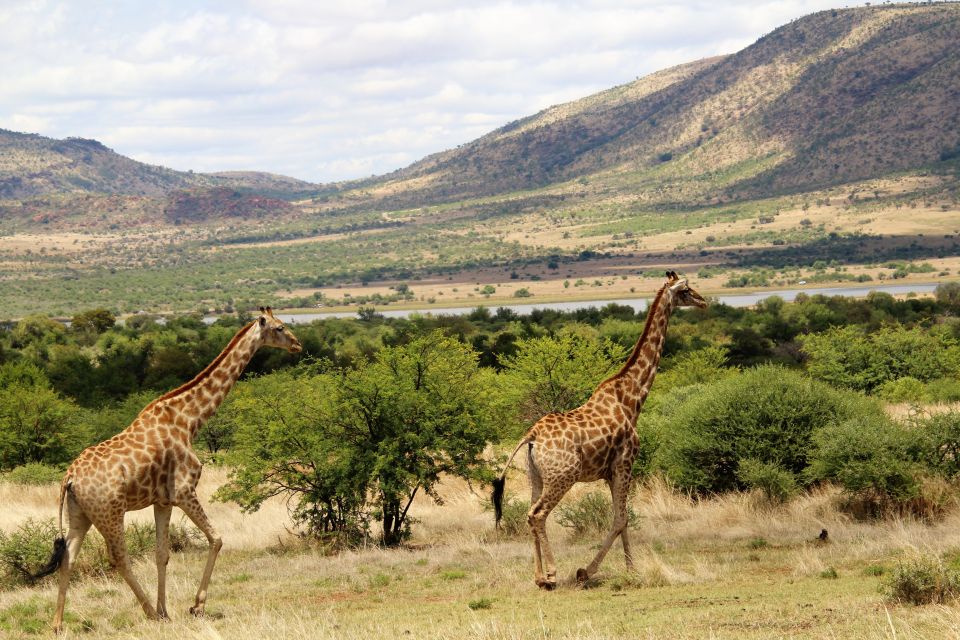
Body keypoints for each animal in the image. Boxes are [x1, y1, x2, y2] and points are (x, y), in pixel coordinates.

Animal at [34, 308, 300, 632]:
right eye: (280, 328)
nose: (297, 345)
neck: (190, 420)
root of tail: (69, 479)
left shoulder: (162, 501)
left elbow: (162, 553)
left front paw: (167, 610)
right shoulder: (184, 490)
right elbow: (217, 538)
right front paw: (195, 606)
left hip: (79, 515)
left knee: (68, 557)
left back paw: (58, 624)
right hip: (110, 512)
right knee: (119, 557)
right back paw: (148, 612)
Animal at [496, 272, 704, 592]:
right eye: (686, 290)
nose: (704, 302)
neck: (631, 399)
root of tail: (531, 437)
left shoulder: (610, 471)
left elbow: (623, 519)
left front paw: (631, 570)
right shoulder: (625, 462)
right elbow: (619, 519)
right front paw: (586, 571)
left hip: (536, 476)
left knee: (529, 513)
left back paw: (538, 577)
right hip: (563, 477)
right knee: (538, 514)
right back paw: (552, 575)